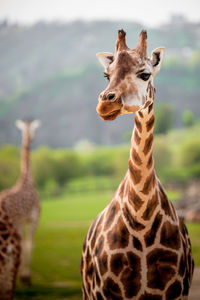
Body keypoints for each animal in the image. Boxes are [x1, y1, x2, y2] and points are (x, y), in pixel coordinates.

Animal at [81, 28, 194, 300]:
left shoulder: (175, 293)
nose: (105, 104)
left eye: (145, 74)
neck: (141, 222)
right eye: (107, 75)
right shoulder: (104, 293)